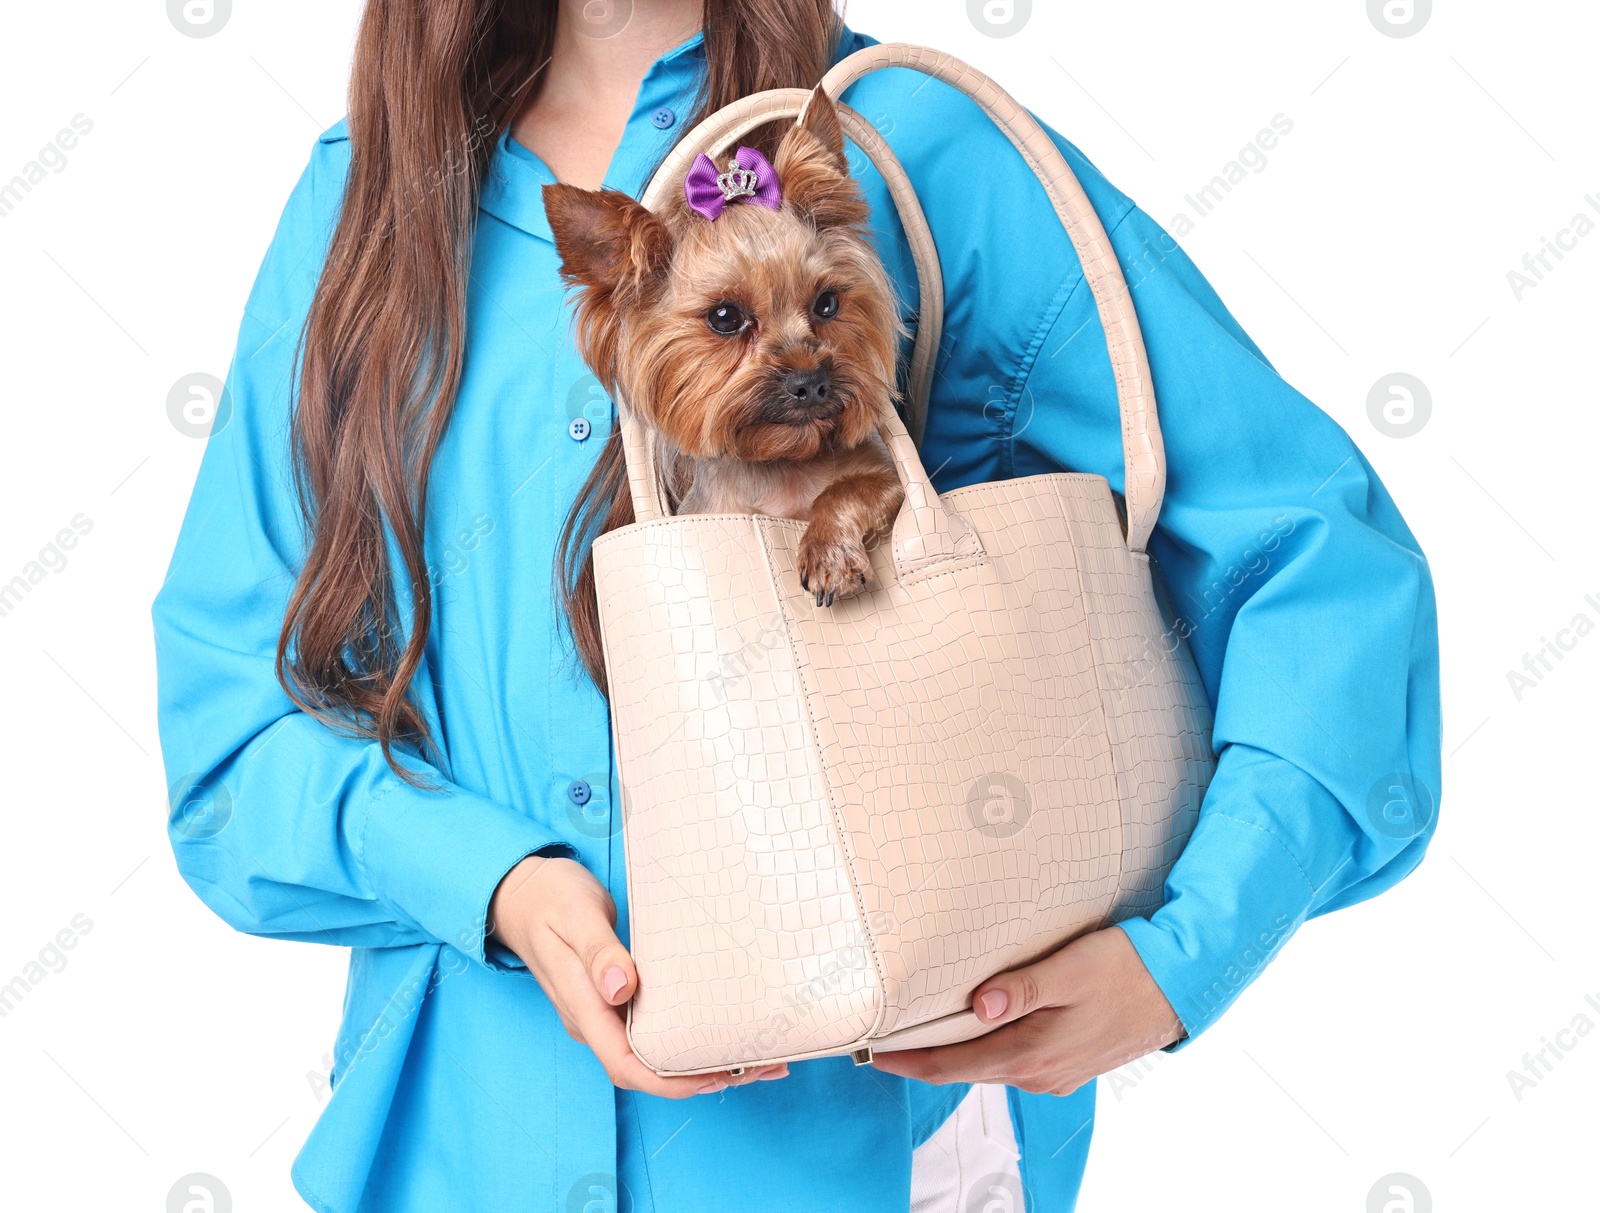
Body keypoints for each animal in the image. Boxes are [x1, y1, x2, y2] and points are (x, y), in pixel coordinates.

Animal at [547, 88, 902, 684]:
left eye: (827, 303)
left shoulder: (895, 482)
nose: (811, 382)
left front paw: (828, 553)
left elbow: (848, 488)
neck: (782, 467)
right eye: (725, 317)